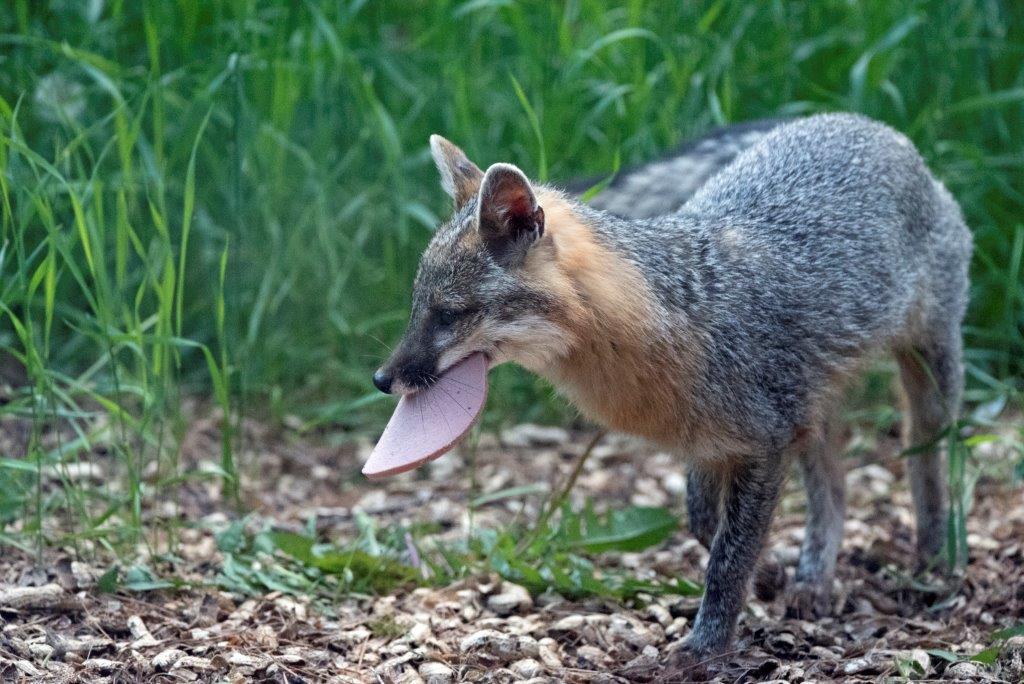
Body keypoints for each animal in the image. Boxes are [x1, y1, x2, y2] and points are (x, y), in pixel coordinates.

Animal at [371, 113, 972, 662]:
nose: (382, 379)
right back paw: (813, 579)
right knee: (836, 486)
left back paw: (933, 557)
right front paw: (770, 575)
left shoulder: (766, 442)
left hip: (928, 376)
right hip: (813, 409)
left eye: (449, 314)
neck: (667, 321)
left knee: (927, 458)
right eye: (416, 307)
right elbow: (704, 522)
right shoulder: (714, 441)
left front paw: (707, 646)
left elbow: (729, 554)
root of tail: (857, 121)